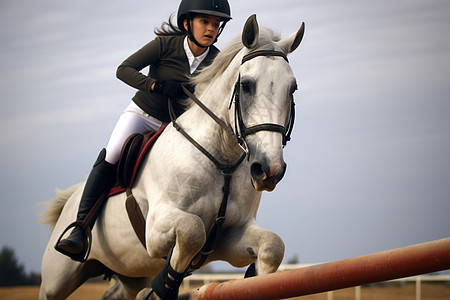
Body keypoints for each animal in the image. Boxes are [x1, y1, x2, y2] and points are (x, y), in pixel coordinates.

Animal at [40, 15, 304, 298]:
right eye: (246, 86)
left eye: (292, 88)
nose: (268, 170)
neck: (221, 158)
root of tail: (70, 199)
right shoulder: (157, 228)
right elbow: (192, 231)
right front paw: (162, 288)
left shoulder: (230, 236)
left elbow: (273, 245)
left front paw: (255, 276)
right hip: (56, 280)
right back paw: (74, 239)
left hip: (132, 273)